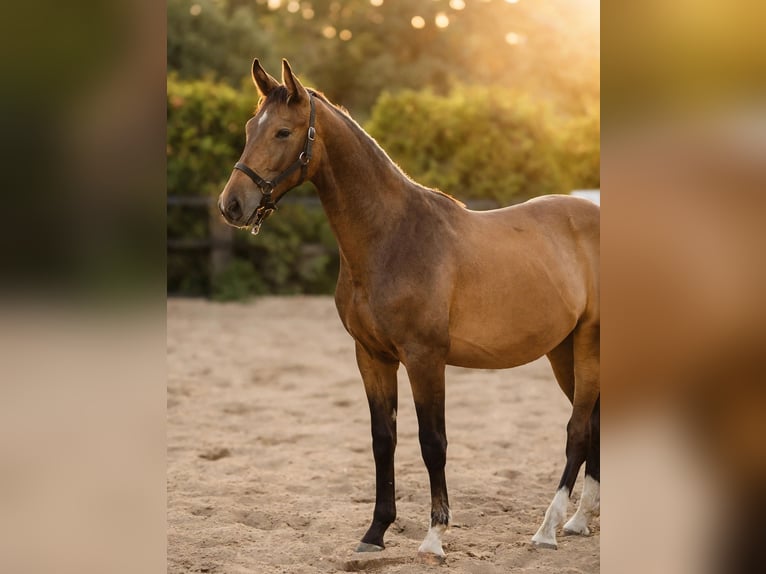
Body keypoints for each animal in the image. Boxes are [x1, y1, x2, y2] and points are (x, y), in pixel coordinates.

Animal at [218, 59, 600, 562]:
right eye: (249, 128)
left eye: (283, 131)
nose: (232, 204)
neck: (392, 237)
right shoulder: (372, 356)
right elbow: (384, 440)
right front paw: (375, 531)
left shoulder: (424, 358)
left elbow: (431, 442)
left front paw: (435, 536)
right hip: (562, 350)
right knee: (594, 423)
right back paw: (580, 520)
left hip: (589, 343)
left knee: (578, 428)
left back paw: (549, 527)